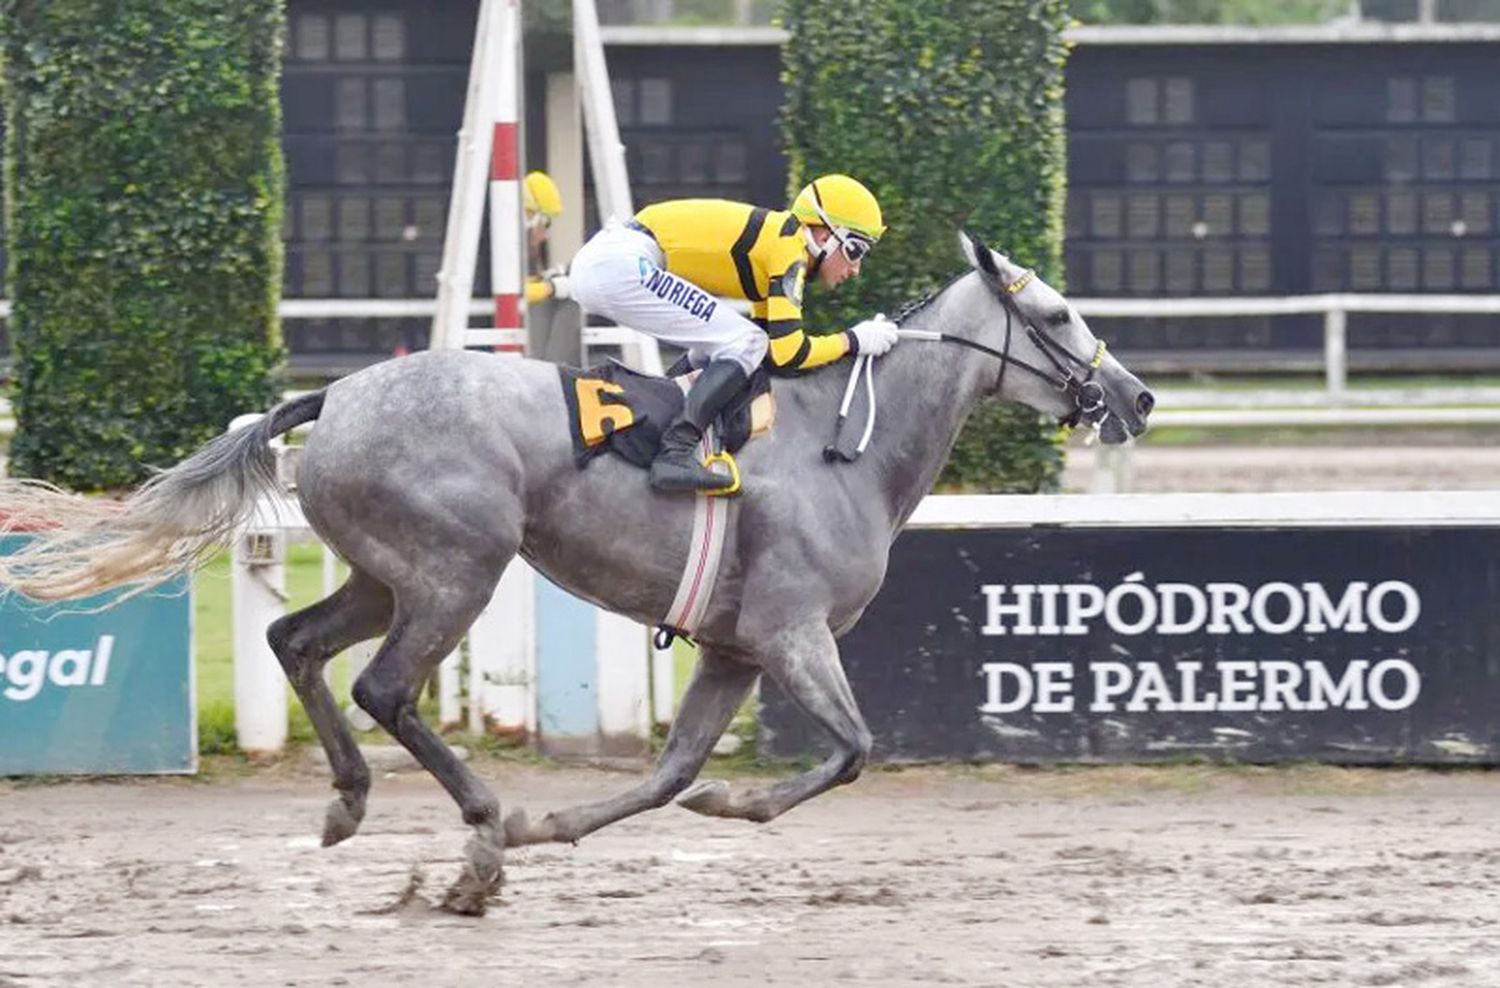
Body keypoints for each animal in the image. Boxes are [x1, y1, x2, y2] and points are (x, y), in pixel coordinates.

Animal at [0, 232, 1152, 911]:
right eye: (1056, 316)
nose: (1137, 398)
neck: (846, 444)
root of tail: (335, 396)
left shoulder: (735, 647)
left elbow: (672, 772)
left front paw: (569, 819)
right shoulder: (790, 632)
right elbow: (854, 749)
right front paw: (716, 805)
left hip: (386, 572)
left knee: (297, 643)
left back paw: (351, 803)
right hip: (458, 567)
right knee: (385, 687)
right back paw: (476, 843)